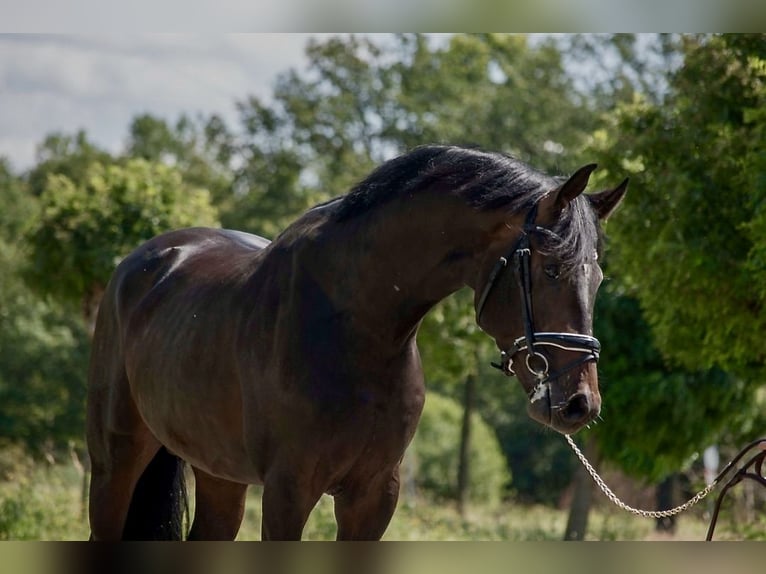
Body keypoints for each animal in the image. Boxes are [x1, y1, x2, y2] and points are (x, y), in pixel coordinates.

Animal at [88, 144, 632, 540]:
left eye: (598, 278)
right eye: (551, 269)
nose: (579, 403)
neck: (358, 329)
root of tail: (144, 261)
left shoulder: (373, 495)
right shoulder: (289, 491)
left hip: (220, 473)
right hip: (116, 460)